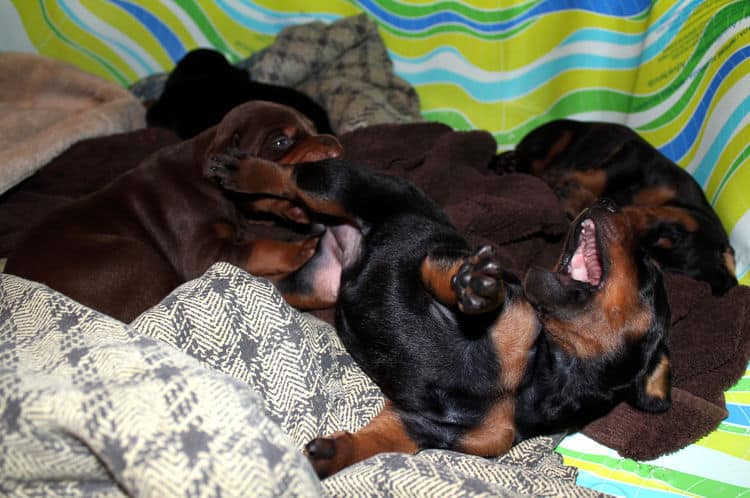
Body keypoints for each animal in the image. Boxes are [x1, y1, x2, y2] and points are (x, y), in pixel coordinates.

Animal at [2, 101, 342, 322]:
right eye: (281, 141)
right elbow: (258, 247)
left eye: (314, 127)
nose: (335, 148)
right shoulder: (201, 254)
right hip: (133, 257)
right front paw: (298, 250)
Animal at [206, 155, 676, 474]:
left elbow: (374, 444)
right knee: (290, 178)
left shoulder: (420, 426)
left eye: (647, 269)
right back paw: (240, 169)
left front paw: (327, 457)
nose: (608, 201)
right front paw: (478, 287)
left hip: (307, 288)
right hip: (341, 186)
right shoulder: (445, 265)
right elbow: (458, 276)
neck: (540, 373)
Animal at [496, 118, 736, 294]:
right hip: (560, 135)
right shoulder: (635, 156)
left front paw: (572, 195)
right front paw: (563, 181)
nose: (618, 214)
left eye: (643, 257)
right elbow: (602, 177)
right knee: (535, 160)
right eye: (670, 234)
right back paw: (513, 164)